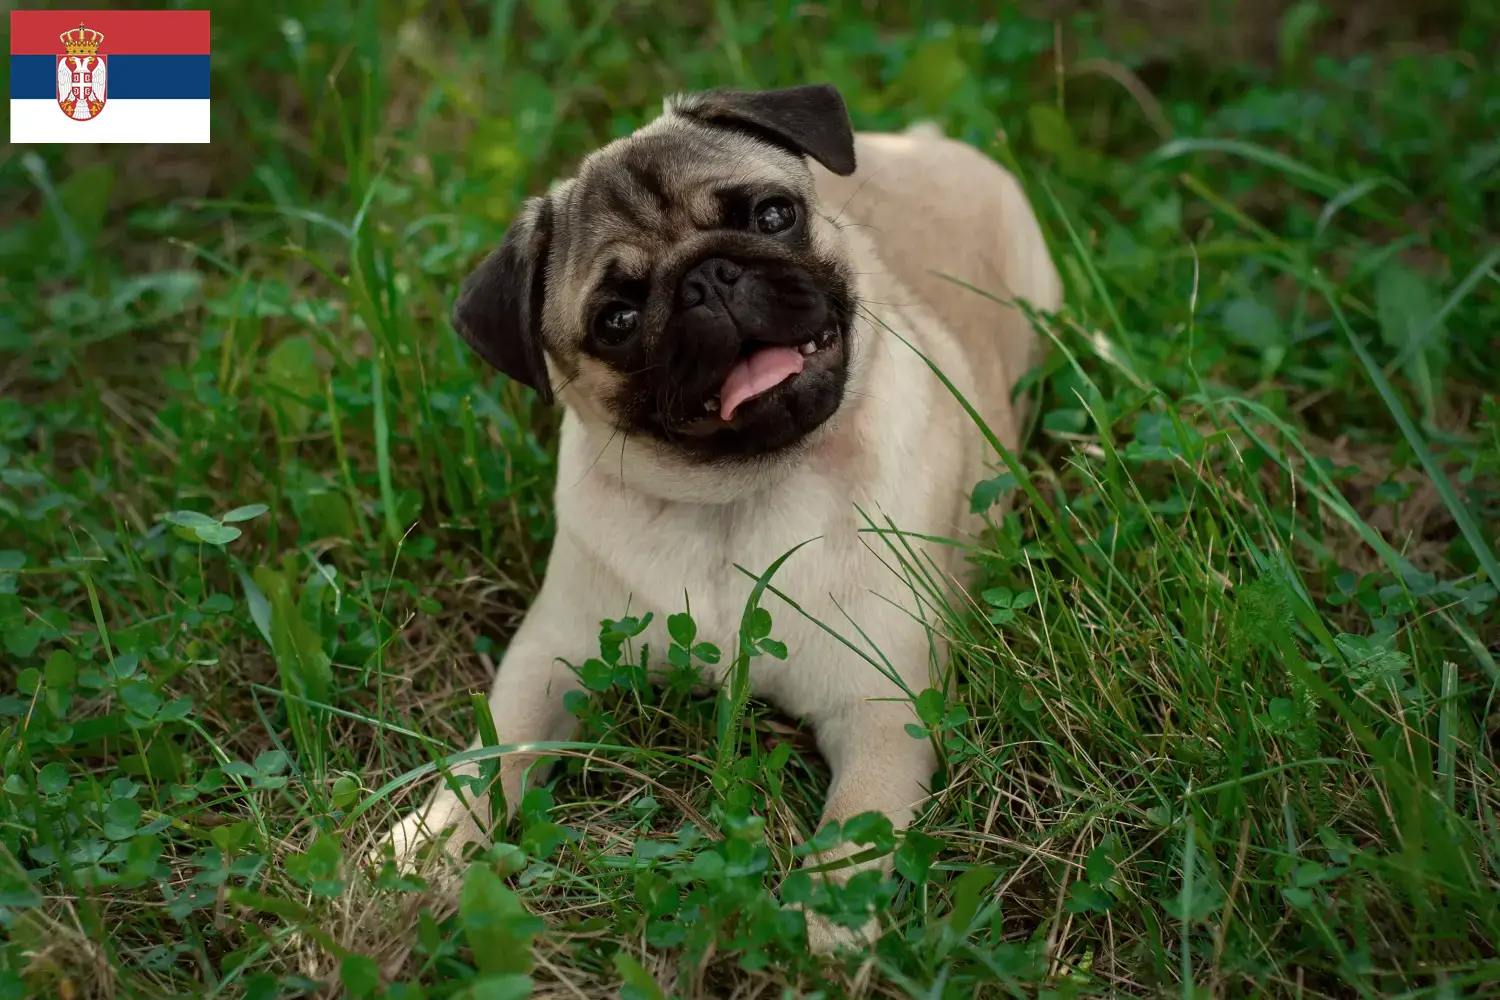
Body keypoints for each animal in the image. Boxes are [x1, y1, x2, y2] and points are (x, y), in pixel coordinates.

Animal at [384, 83, 1068, 953]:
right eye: (616, 320)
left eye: (773, 215)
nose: (708, 277)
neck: (738, 497)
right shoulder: (549, 660)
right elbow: (491, 750)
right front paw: (432, 837)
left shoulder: (882, 708)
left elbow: (857, 821)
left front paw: (829, 914)